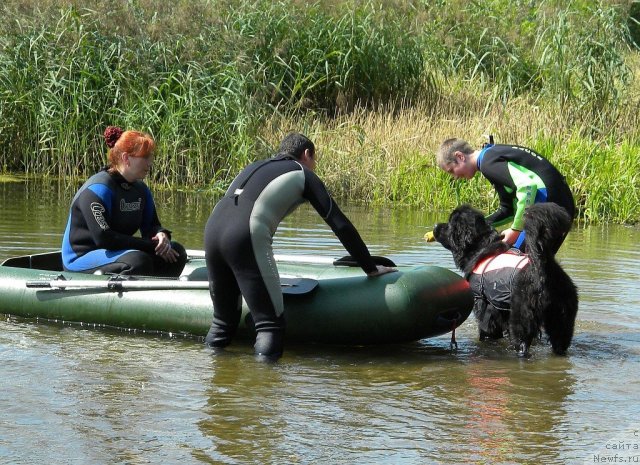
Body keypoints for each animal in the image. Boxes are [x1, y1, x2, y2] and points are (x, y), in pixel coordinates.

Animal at [432, 202, 576, 356]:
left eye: (450, 223)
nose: (435, 225)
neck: (479, 247)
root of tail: (542, 267)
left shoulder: (483, 306)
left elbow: (486, 331)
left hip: (522, 315)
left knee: (522, 341)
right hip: (562, 318)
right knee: (560, 341)